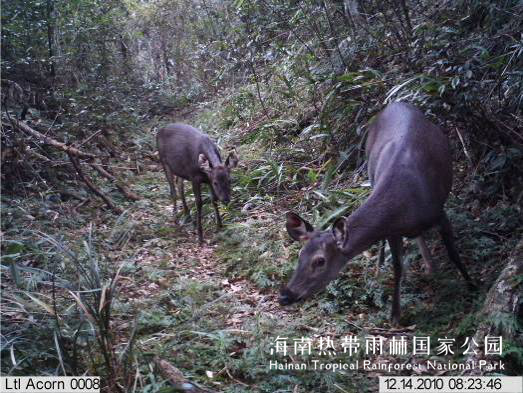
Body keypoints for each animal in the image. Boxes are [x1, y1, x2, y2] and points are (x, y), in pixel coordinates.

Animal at [280, 102, 476, 324]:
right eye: (300, 255)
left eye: (320, 261)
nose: (286, 295)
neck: (403, 205)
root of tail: (396, 103)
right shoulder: (392, 231)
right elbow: (398, 267)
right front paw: (395, 314)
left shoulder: (439, 213)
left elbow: (453, 253)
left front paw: (472, 285)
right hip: (370, 170)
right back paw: (389, 265)